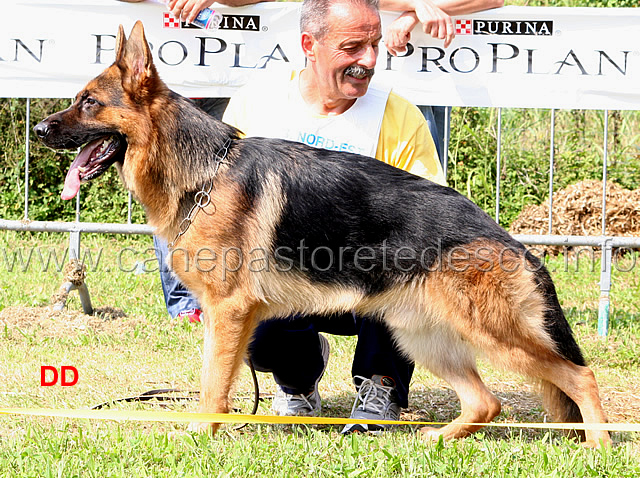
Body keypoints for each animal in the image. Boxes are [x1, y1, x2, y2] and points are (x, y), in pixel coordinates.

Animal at [33, 22, 608, 448]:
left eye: (88, 103)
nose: (39, 130)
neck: (204, 173)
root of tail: (510, 241)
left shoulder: (229, 311)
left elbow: (214, 386)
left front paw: (200, 436)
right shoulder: (226, 318)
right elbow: (211, 379)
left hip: (493, 335)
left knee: (580, 376)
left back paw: (600, 446)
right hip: (423, 336)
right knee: (486, 401)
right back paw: (437, 439)